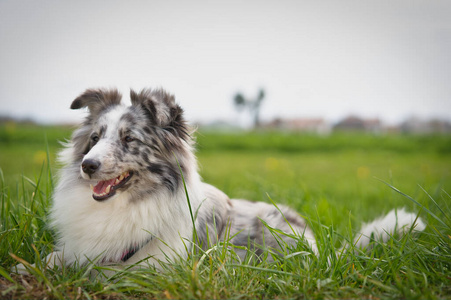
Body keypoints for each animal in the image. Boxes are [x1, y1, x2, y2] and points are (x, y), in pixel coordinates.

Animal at [11, 86, 428, 276]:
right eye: (95, 138)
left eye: (129, 140)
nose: (88, 165)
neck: (126, 204)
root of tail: (319, 248)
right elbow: (50, 259)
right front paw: (25, 268)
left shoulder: (154, 266)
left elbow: (101, 271)